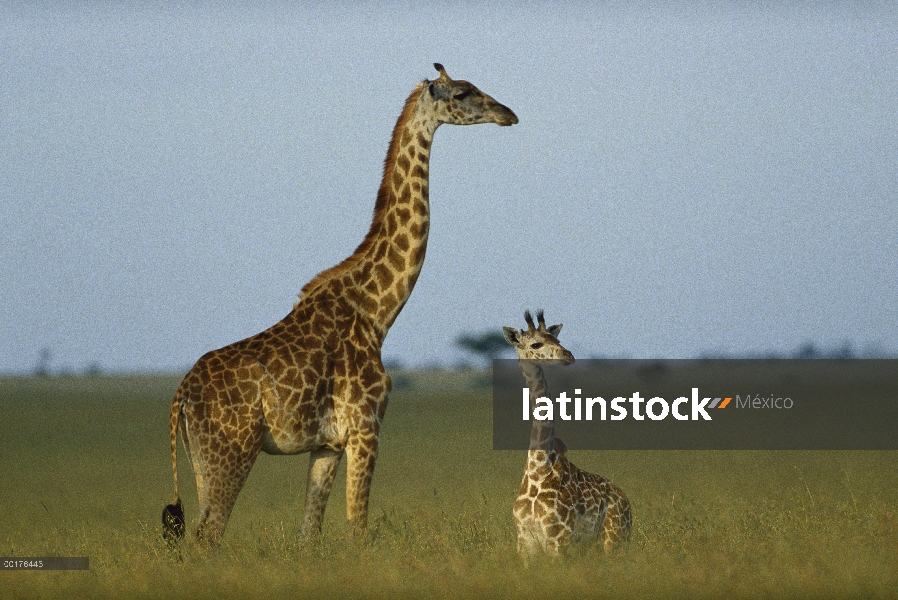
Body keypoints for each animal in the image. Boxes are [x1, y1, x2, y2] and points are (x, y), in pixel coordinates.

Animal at [158, 64, 516, 544]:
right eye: (462, 93)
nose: (508, 113)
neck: (377, 311)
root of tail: (180, 396)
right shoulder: (366, 427)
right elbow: (357, 527)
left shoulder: (326, 444)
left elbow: (309, 535)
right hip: (230, 452)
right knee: (207, 534)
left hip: (199, 457)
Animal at [504, 312, 632, 556]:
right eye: (536, 344)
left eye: (557, 340)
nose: (568, 355)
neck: (538, 468)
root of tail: (626, 501)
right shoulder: (524, 542)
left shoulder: (559, 539)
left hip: (614, 538)